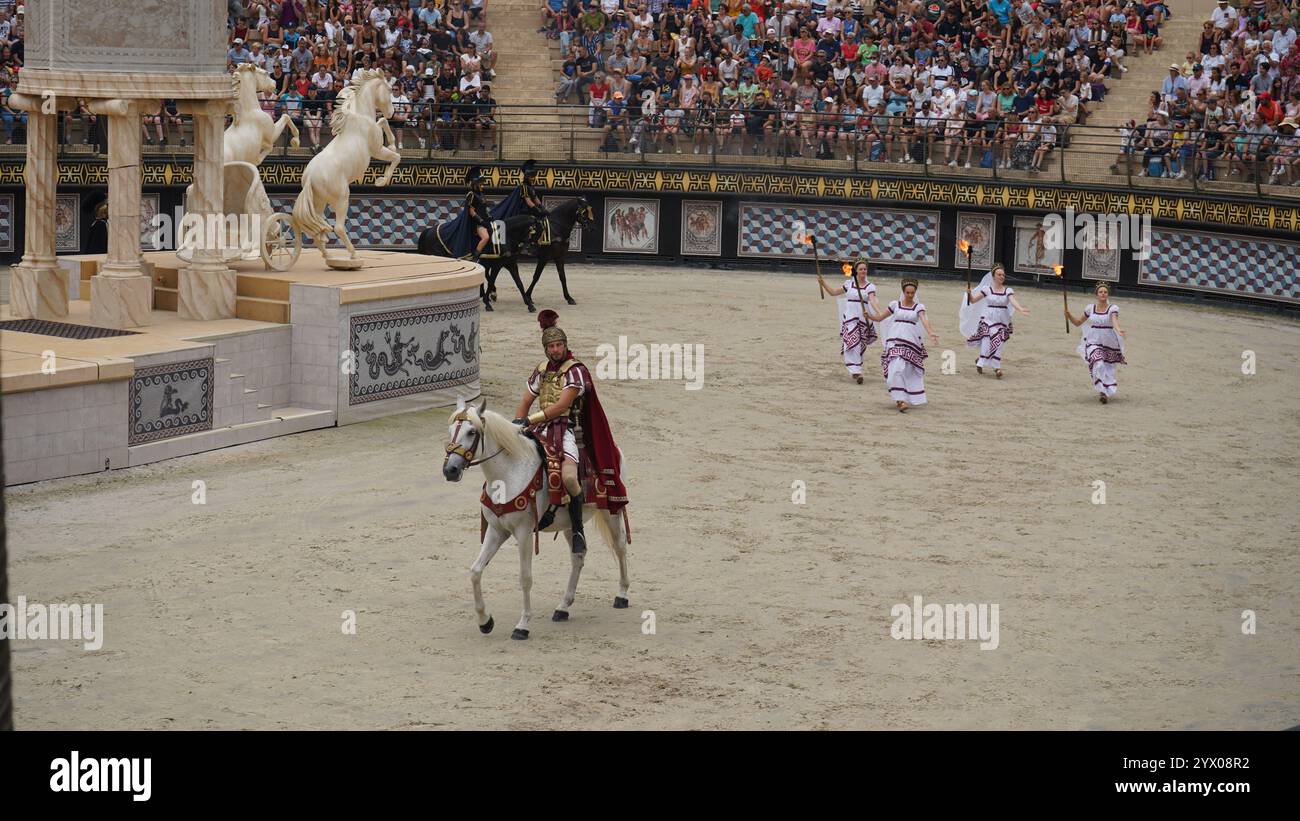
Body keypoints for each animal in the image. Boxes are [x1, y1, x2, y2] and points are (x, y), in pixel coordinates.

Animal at [291, 70, 400, 265]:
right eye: (389, 89)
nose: (391, 112)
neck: (360, 115)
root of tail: (309, 177)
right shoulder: (377, 150)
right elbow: (396, 157)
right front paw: (381, 181)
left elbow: (381, 122)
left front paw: (393, 143)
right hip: (342, 198)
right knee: (339, 227)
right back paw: (354, 255)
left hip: (319, 202)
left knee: (317, 229)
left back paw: (329, 256)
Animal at [444, 397, 631, 641]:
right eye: (450, 431)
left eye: (471, 431)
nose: (450, 470)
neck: (509, 473)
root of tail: (616, 449)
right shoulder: (497, 530)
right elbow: (475, 572)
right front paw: (485, 621)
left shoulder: (524, 533)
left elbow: (525, 578)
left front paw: (522, 625)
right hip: (570, 525)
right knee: (578, 556)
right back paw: (563, 607)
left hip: (612, 512)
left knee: (620, 547)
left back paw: (622, 595)